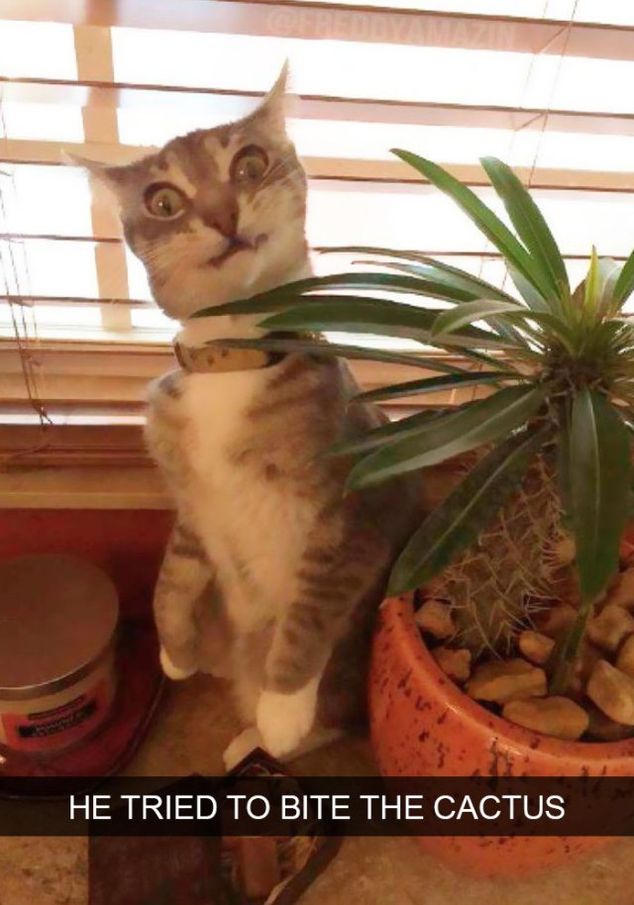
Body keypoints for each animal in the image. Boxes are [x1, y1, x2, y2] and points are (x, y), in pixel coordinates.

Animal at [81, 67, 422, 768]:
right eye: (163, 201)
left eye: (250, 163)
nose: (220, 213)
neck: (232, 360)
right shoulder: (190, 502)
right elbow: (171, 577)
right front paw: (173, 652)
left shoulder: (349, 513)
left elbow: (309, 610)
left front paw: (282, 708)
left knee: (323, 716)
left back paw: (257, 738)